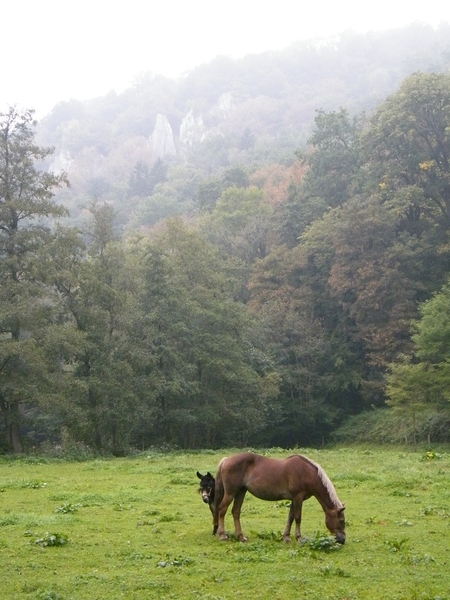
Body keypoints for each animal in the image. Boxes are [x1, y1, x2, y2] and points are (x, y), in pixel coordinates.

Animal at [213, 454, 346, 544]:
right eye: (341, 521)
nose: (342, 540)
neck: (306, 473)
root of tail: (226, 460)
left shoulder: (294, 499)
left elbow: (290, 517)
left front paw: (286, 537)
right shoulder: (298, 497)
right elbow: (298, 517)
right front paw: (298, 538)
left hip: (241, 492)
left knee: (236, 512)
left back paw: (240, 536)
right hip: (230, 493)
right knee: (222, 510)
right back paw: (222, 535)